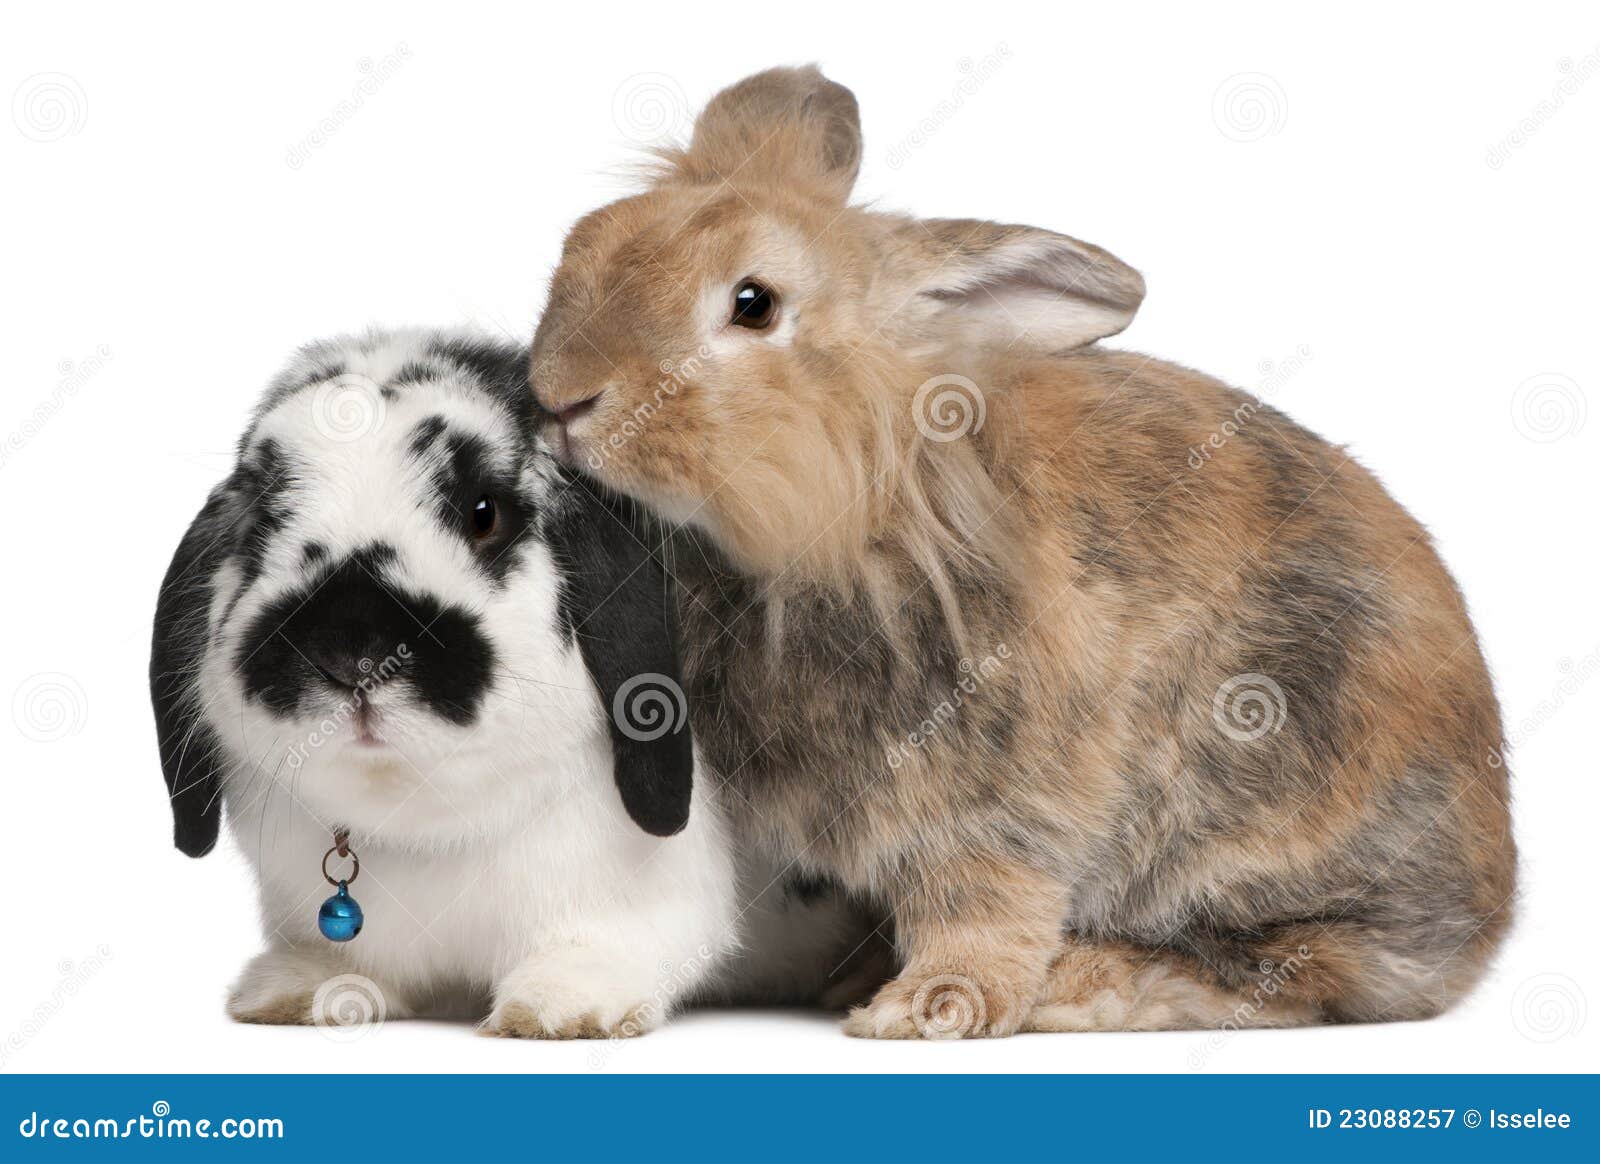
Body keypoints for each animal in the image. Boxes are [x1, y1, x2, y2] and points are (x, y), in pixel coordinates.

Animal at [148, 327, 736, 1036]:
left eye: (485, 514)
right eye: (263, 519)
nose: (353, 651)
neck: (423, 831)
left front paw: (559, 1006)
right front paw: (301, 991)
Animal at [524, 65, 1510, 1036]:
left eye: (753, 305)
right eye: (588, 242)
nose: (561, 397)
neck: (876, 495)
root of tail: (1493, 904)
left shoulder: (991, 806)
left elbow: (984, 909)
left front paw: (928, 1009)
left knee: (1303, 969)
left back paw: (1083, 985)